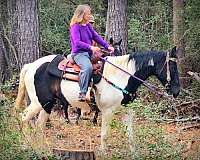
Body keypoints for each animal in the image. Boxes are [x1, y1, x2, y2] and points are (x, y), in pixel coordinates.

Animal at [14, 46, 180, 151]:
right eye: (172, 67)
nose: (177, 91)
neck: (122, 76)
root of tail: (31, 65)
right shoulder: (107, 111)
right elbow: (105, 135)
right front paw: (104, 152)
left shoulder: (127, 111)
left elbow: (130, 135)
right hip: (38, 102)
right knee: (23, 118)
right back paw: (26, 145)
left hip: (47, 104)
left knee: (39, 125)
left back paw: (40, 148)